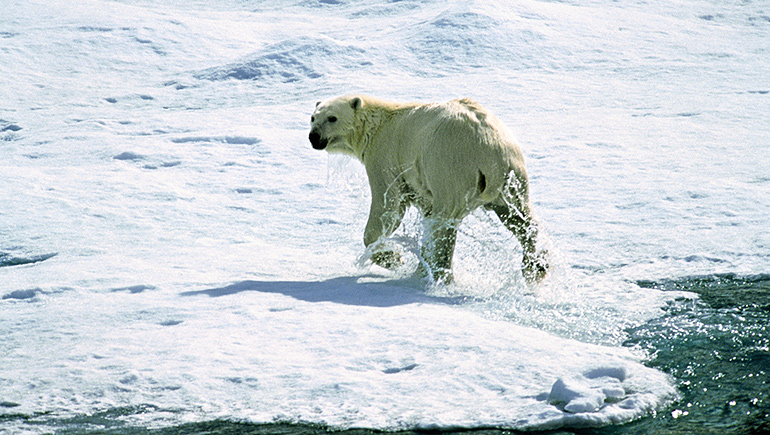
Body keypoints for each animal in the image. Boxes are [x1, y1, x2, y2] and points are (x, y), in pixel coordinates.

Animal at [306, 95, 544, 284]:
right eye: (313, 117)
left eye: (332, 118)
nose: (313, 137)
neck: (378, 125)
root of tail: (490, 153)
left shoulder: (385, 158)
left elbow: (388, 209)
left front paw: (392, 258)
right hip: (513, 176)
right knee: (520, 217)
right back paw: (537, 266)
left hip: (451, 168)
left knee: (443, 222)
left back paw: (439, 274)